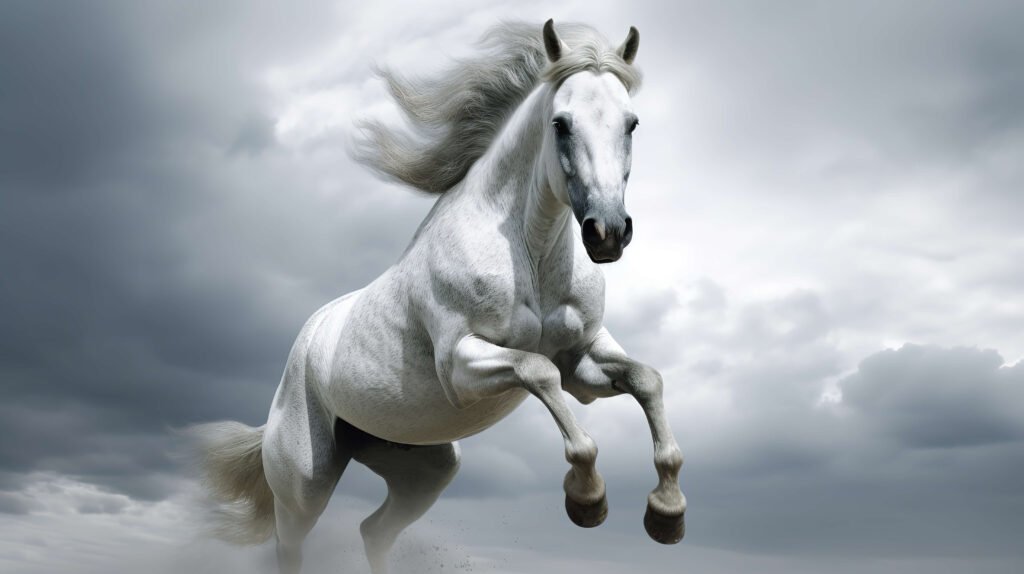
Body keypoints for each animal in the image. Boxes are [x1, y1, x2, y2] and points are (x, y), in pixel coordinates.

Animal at [189, 19, 686, 574]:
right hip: (304, 486)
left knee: (375, 531)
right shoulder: (461, 367)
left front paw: (667, 512)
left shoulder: (583, 360)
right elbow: (539, 372)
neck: (529, 255)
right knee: (291, 545)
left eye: (632, 123)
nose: (608, 233)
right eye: (561, 123)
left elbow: (646, 379)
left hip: (427, 469)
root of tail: (304, 346)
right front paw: (586, 498)